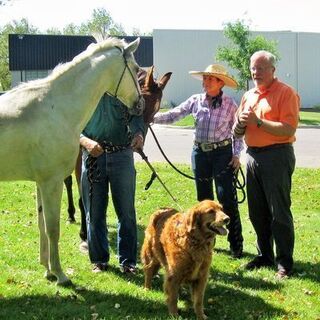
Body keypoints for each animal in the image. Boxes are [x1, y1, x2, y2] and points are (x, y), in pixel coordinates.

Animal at [0, 37, 142, 284]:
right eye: (135, 69)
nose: (139, 103)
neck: (56, 107)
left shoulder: (40, 183)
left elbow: (41, 225)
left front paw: (47, 269)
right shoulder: (52, 182)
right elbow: (52, 229)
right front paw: (60, 274)